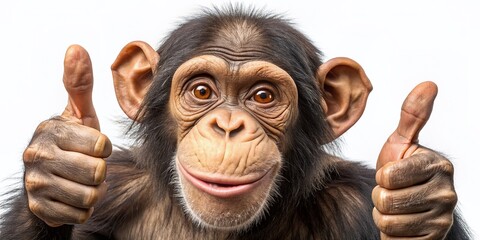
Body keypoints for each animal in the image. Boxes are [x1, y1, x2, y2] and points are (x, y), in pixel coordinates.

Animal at [0, 4, 472, 239]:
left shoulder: (354, 200)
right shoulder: (116, 187)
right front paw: (60, 164)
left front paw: (417, 195)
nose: (228, 126)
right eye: (202, 92)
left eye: (263, 96)